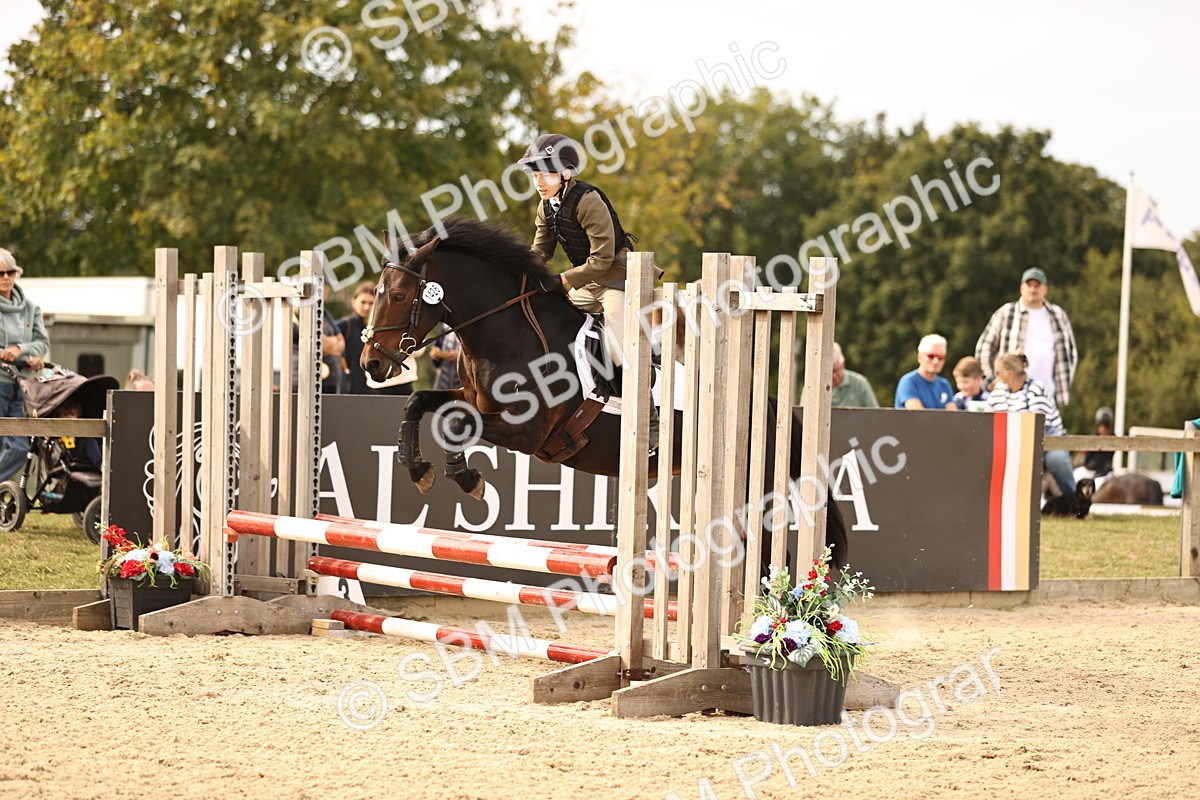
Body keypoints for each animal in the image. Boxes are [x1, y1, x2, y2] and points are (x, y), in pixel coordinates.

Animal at [360, 217, 848, 562]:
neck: (506, 331)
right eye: (379, 292)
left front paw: (466, 478)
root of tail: (768, 404)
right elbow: (420, 403)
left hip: (749, 491)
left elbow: (456, 424)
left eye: (399, 296)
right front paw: (419, 470)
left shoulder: (526, 433)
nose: (371, 364)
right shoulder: (474, 401)